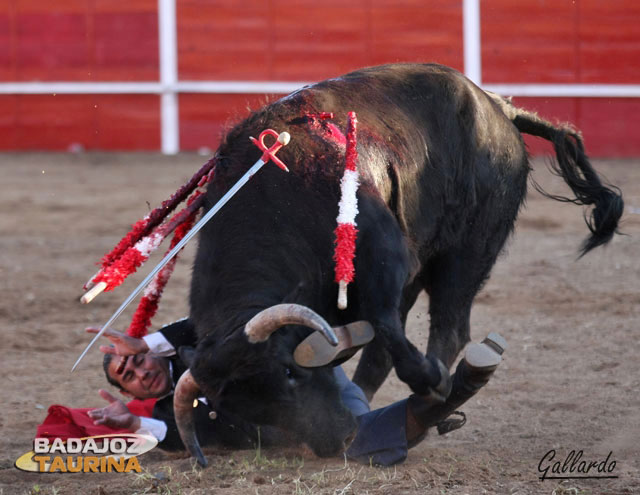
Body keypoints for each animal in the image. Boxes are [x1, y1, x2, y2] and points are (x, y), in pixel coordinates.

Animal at [172, 63, 624, 464]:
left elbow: (388, 329)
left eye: (289, 373)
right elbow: (378, 341)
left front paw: (433, 383)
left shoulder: (385, 256)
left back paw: (432, 398)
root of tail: (498, 107)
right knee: (386, 352)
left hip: (468, 251)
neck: (277, 199)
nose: (336, 439)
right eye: (246, 407)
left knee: (448, 326)